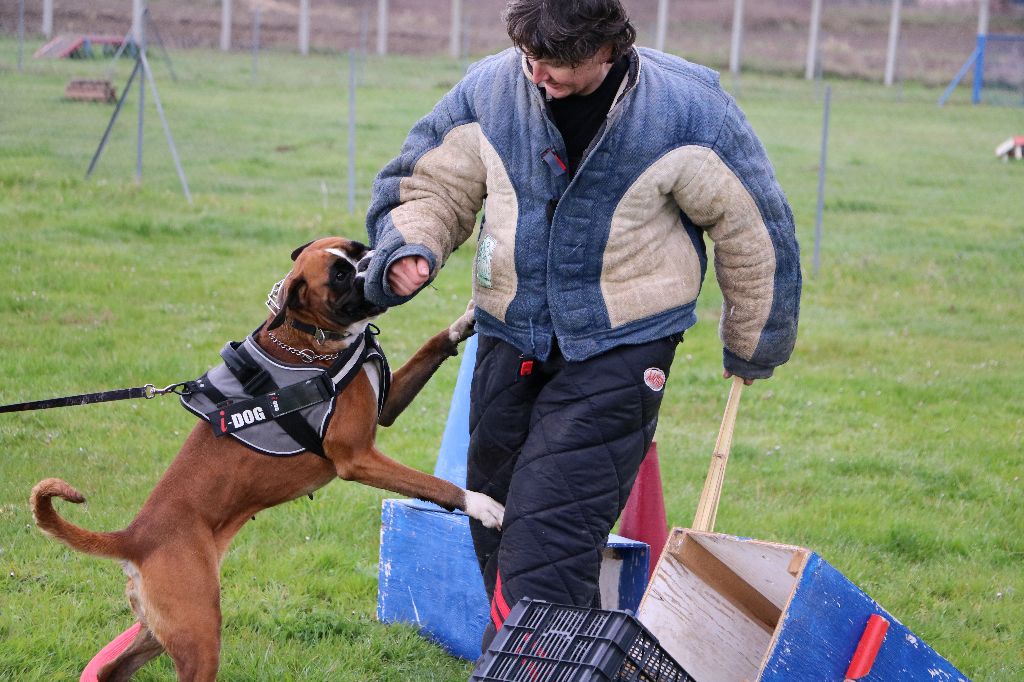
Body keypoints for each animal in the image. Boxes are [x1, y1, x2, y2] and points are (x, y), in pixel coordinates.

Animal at [34, 236, 505, 675]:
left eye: (358, 248)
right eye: (339, 275)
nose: (374, 259)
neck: (310, 339)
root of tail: (135, 536)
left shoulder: (383, 411)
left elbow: (431, 345)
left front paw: (466, 321)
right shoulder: (357, 457)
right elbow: (435, 484)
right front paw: (482, 505)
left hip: (160, 631)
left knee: (112, 669)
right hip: (199, 632)